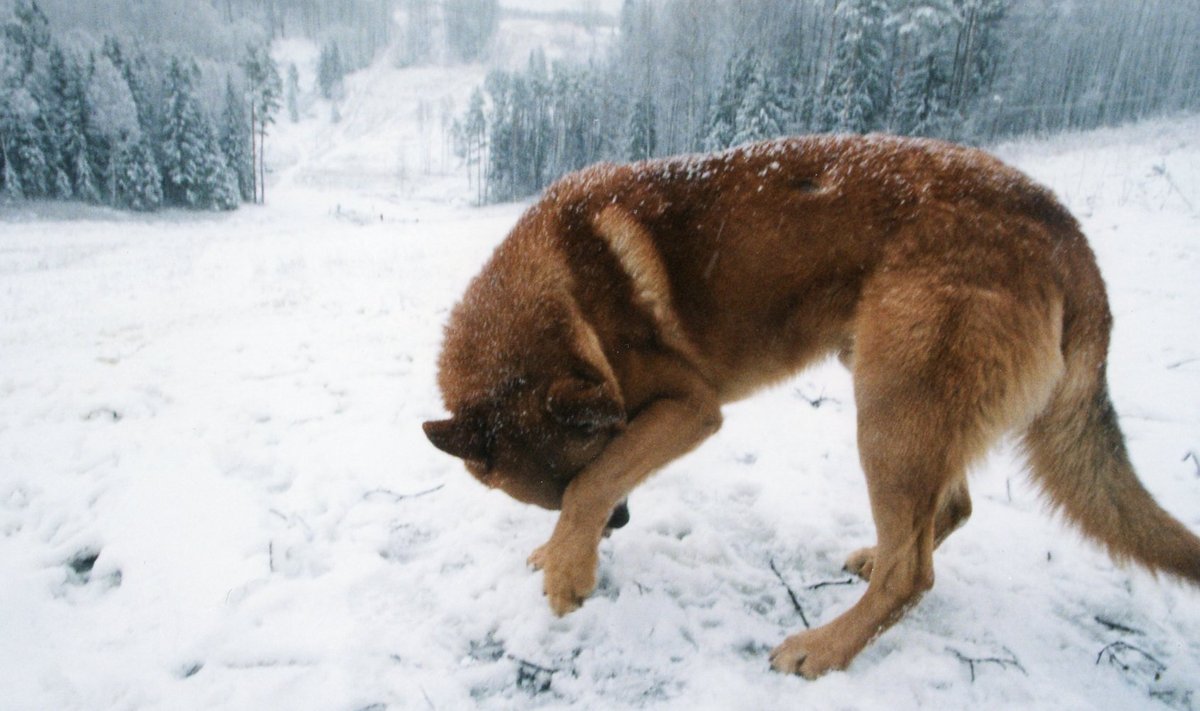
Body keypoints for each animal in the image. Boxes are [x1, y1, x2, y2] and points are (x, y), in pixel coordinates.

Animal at [422, 136, 1200, 682]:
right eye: (537, 493)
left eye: (554, 482)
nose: (623, 526)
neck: (562, 300)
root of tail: (1069, 233)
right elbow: (596, 486)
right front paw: (561, 549)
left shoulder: (689, 408)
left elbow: (596, 480)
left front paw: (567, 569)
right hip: (902, 397)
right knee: (941, 517)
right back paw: (870, 562)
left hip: (889, 409)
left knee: (913, 572)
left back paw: (822, 650)